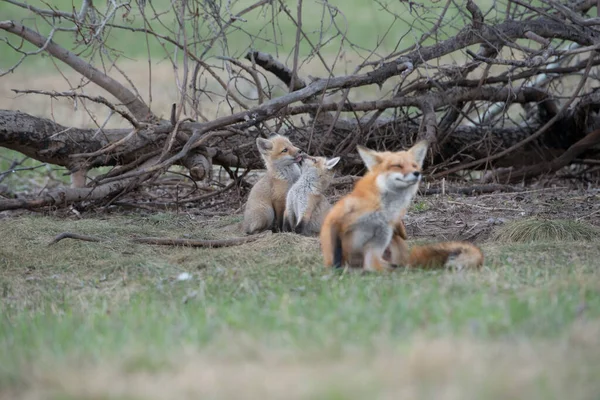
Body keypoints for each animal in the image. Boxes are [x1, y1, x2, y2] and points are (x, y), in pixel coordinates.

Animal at [318, 141, 482, 272]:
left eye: (414, 165)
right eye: (397, 165)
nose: (417, 173)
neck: (383, 210)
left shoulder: (379, 239)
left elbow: (372, 264)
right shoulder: (336, 220)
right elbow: (335, 253)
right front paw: (335, 271)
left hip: (392, 241)